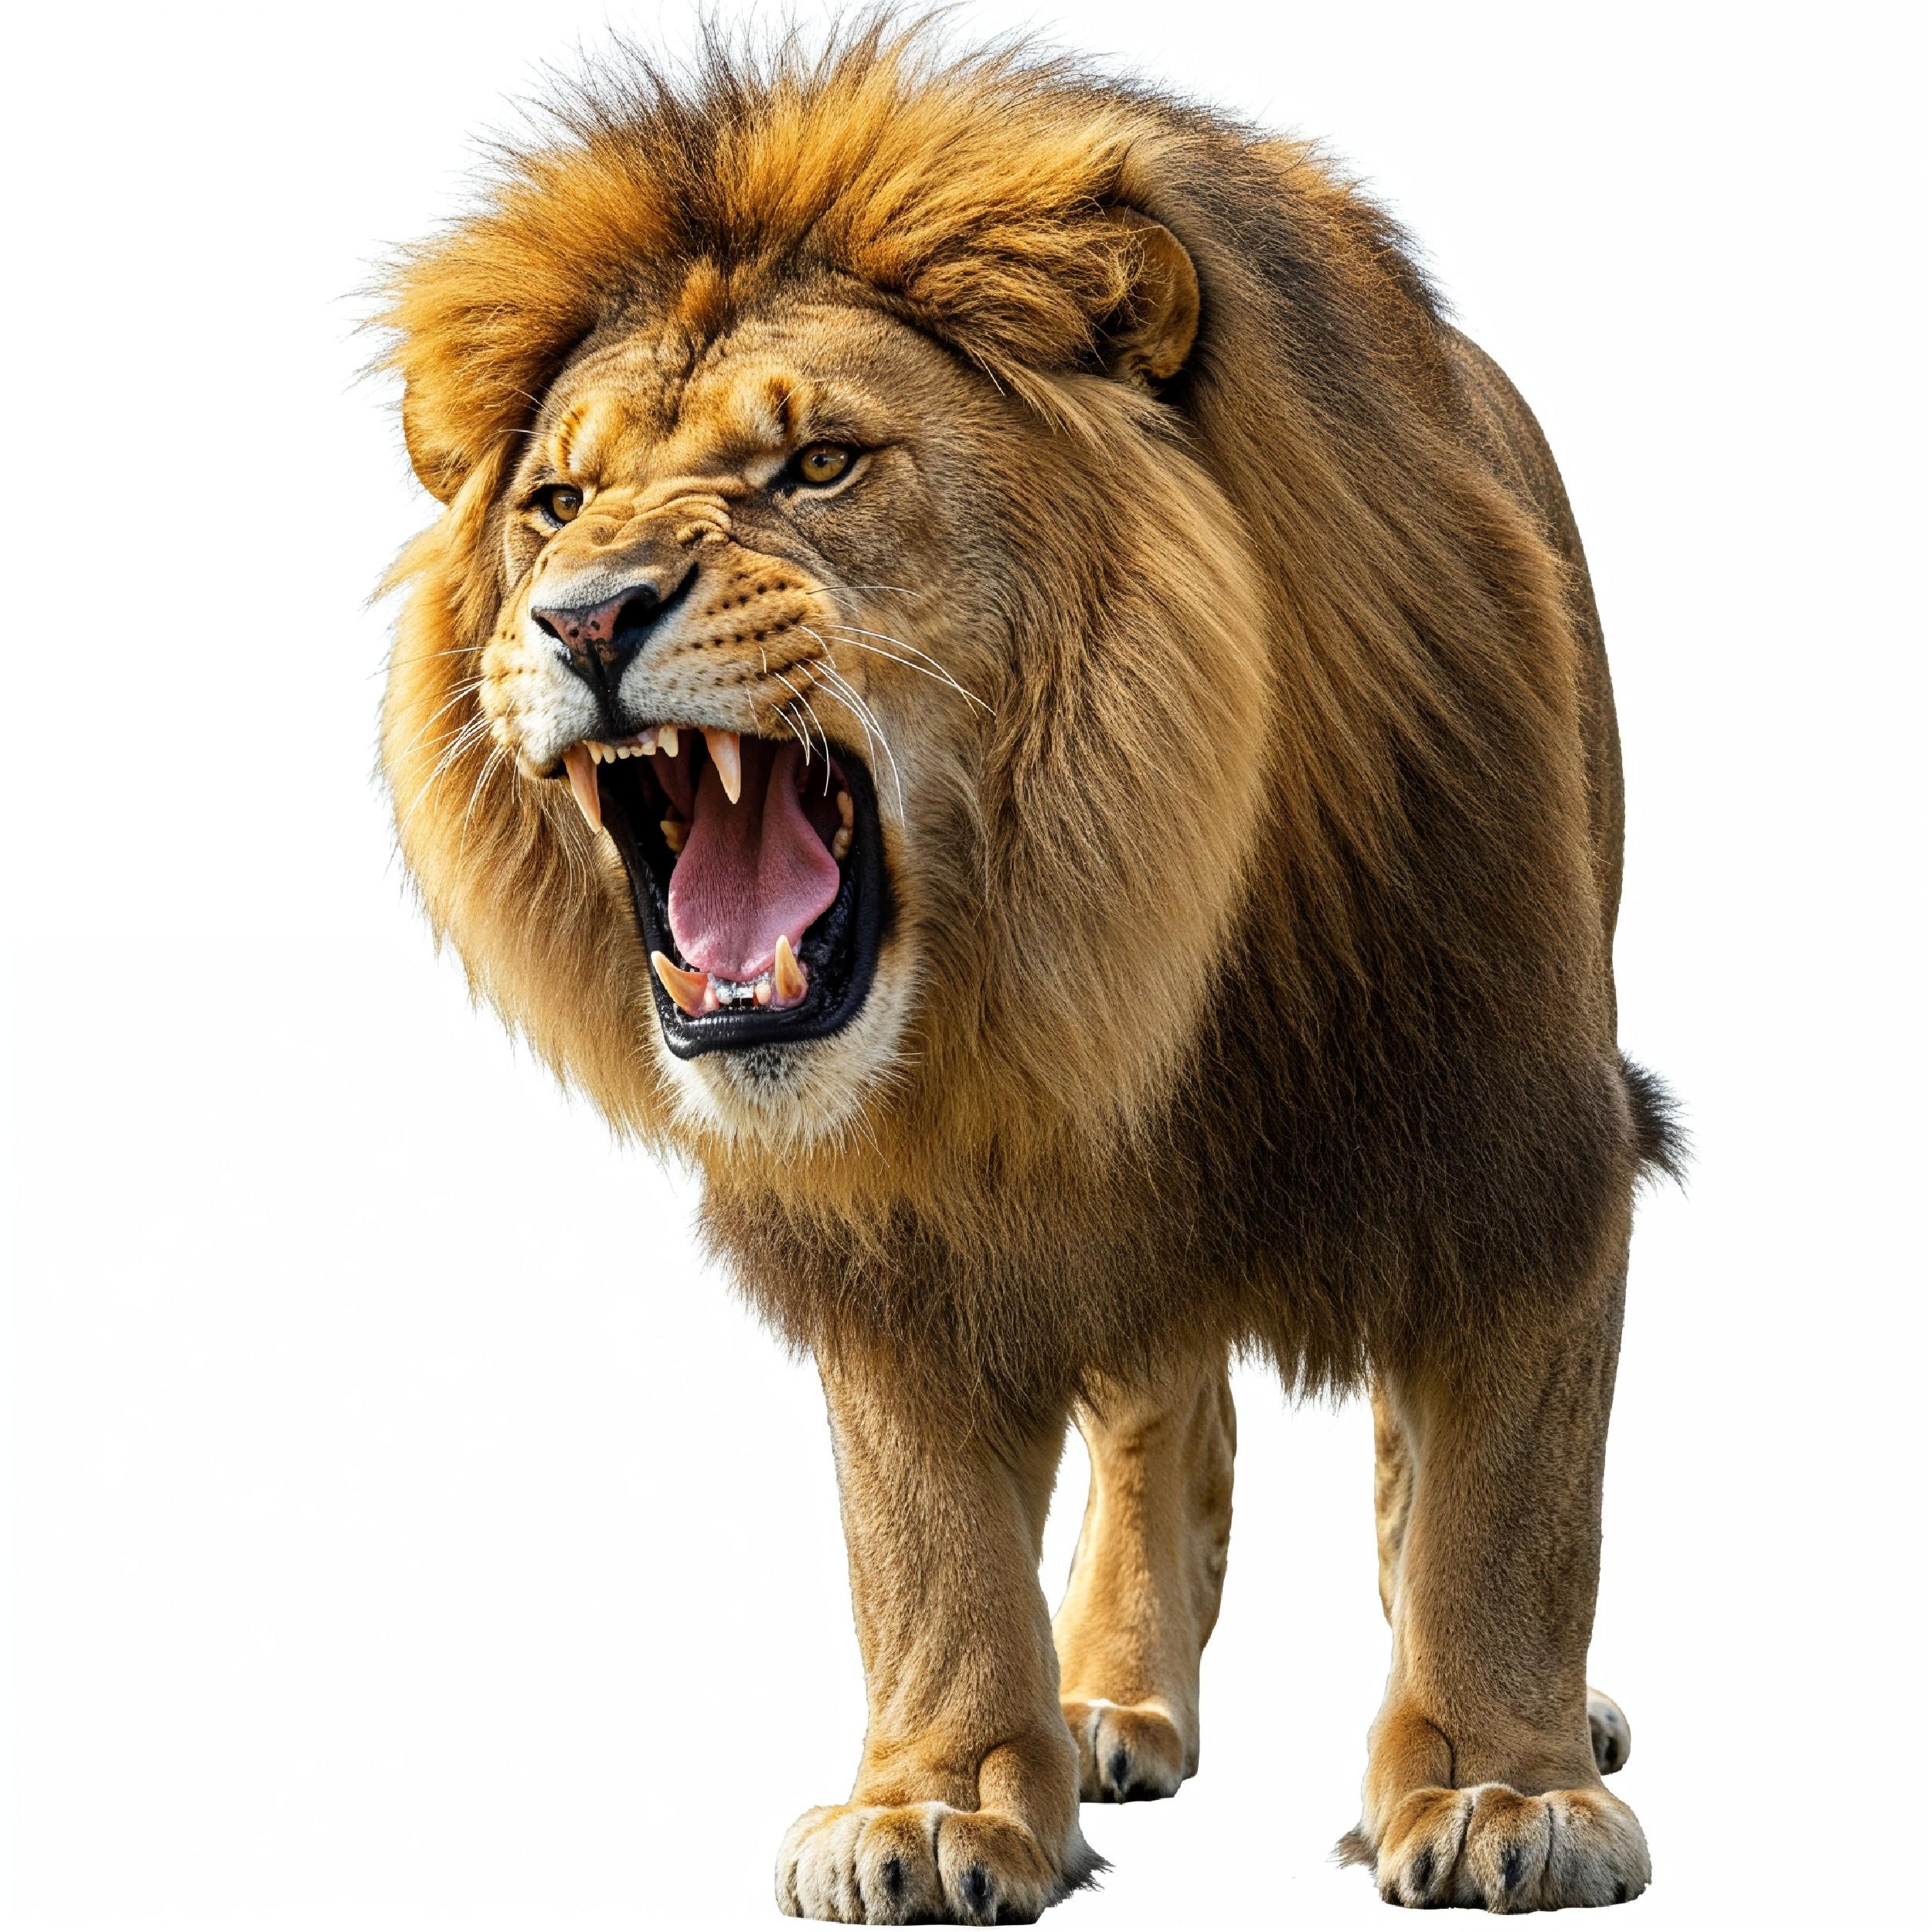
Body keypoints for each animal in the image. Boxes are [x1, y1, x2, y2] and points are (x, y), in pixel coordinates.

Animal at [374, 22, 1677, 1921]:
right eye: (557, 501)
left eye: (821, 466)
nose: (585, 613)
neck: (1098, 952)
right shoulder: (891, 1224)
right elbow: (922, 1539)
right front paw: (939, 1798)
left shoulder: (1519, 1129)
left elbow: (1506, 1496)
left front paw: (1506, 1783)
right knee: (1155, 1420)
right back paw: (1108, 1698)